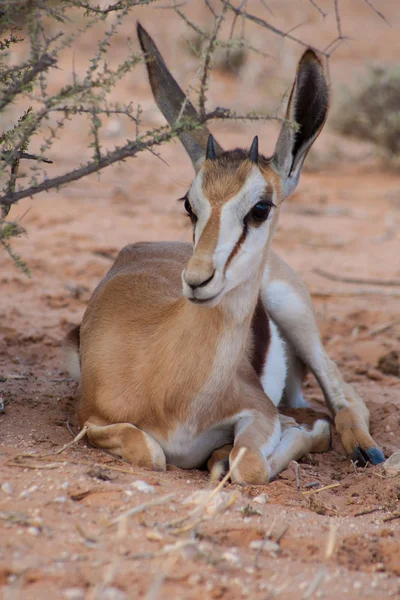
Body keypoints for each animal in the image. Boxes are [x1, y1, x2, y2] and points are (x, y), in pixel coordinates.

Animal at [65, 25, 384, 486]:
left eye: (261, 208)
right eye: (188, 203)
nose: (198, 279)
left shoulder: (259, 410)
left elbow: (248, 463)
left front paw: (292, 435)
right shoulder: (90, 418)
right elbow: (150, 451)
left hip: (293, 311)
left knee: (347, 398)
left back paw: (364, 448)